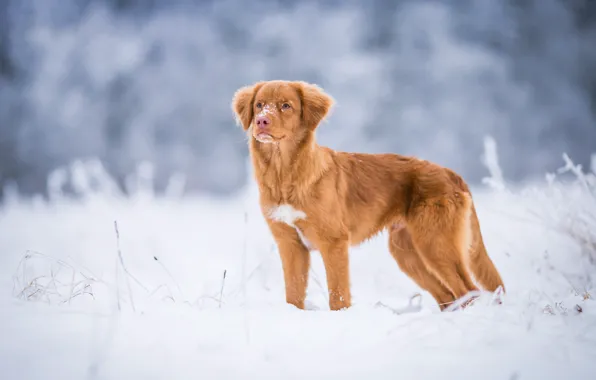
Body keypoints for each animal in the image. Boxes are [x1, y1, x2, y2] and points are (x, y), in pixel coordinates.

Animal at [230, 80, 506, 312]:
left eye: (286, 105)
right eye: (259, 105)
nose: (261, 121)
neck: (284, 174)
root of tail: (451, 173)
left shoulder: (334, 241)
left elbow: (338, 294)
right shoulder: (289, 243)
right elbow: (294, 293)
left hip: (435, 243)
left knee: (468, 290)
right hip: (408, 253)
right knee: (449, 296)